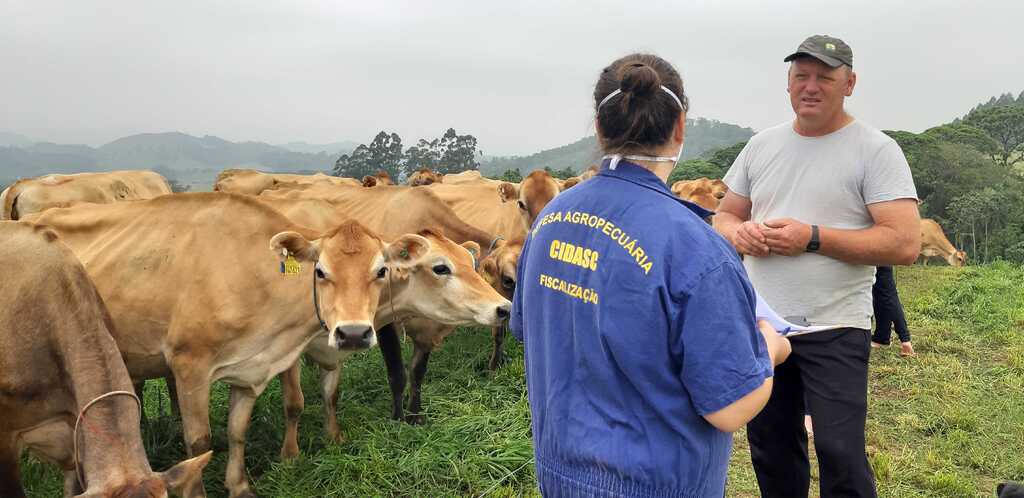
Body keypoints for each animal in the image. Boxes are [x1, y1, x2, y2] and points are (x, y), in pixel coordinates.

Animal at [29, 191, 509, 498]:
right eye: (440, 267)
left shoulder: (263, 365)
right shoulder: (193, 366)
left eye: (379, 271)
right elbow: (208, 439)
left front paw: (253, 479)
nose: (503, 307)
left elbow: (247, 426)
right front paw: (289, 456)